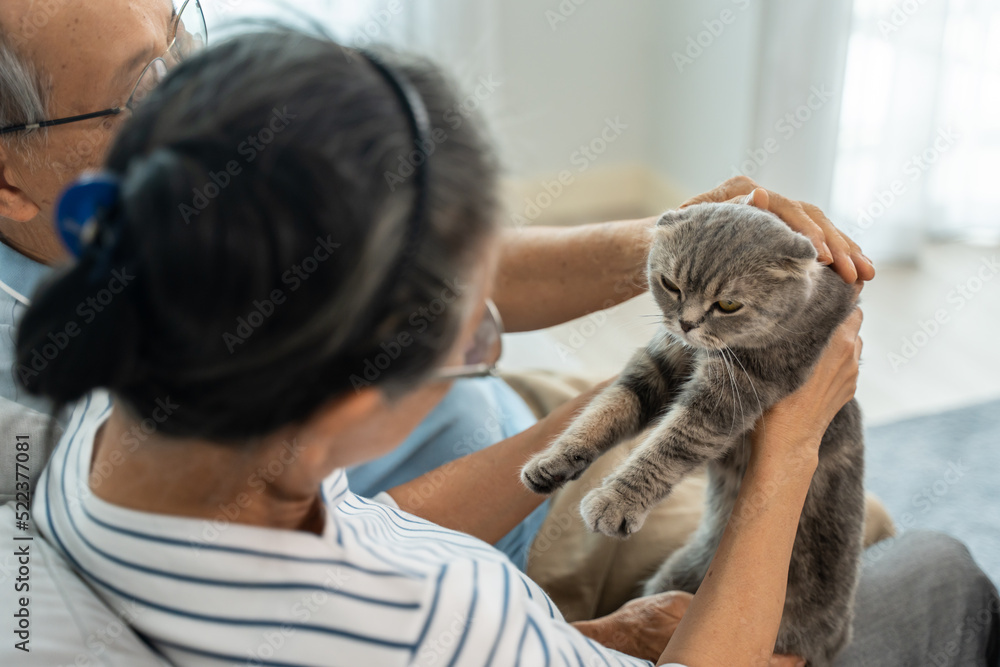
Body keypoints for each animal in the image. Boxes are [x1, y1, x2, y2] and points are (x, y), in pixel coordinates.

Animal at [524, 204, 868, 667]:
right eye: (670, 285)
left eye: (728, 304)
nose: (686, 323)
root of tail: (833, 644)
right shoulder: (658, 364)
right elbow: (603, 412)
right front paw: (554, 460)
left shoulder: (728, 396)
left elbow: (665, 447)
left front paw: (616, 501)